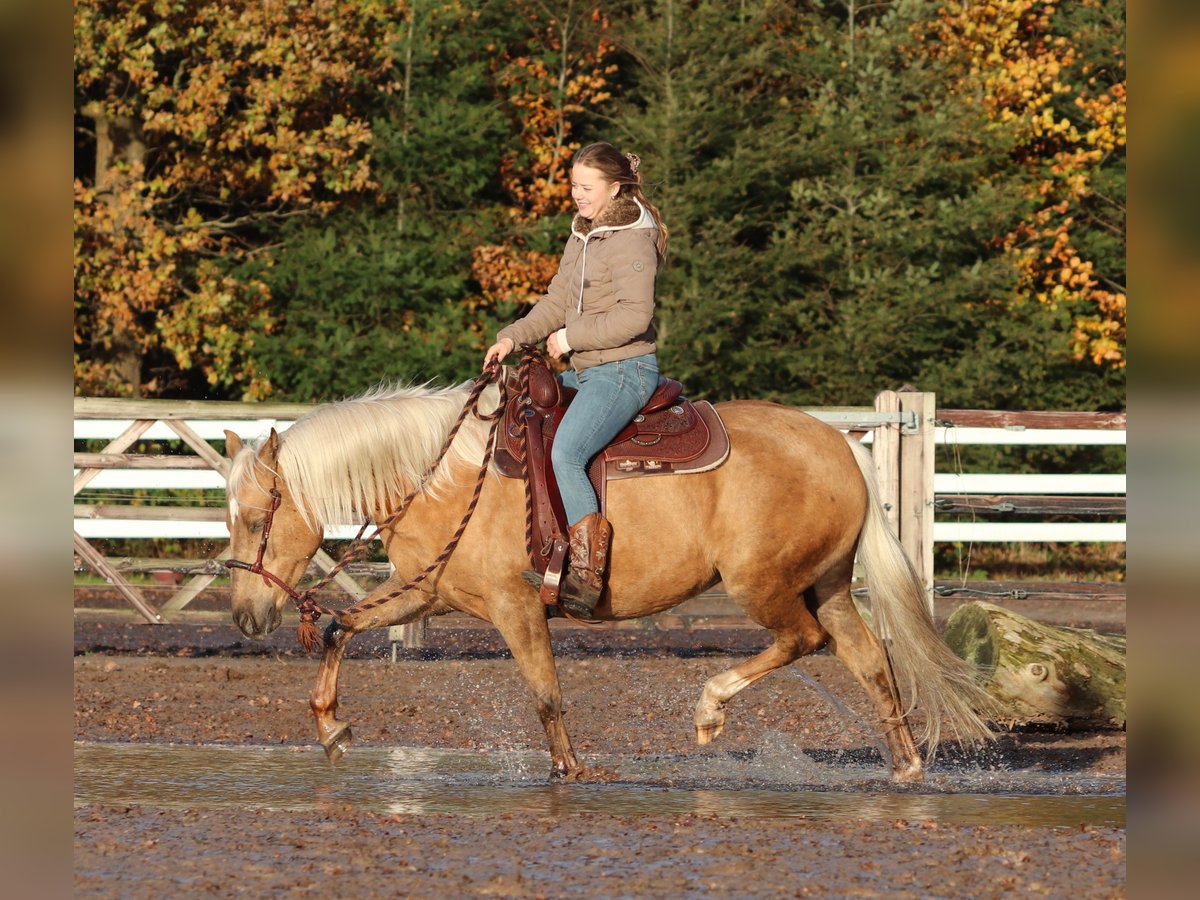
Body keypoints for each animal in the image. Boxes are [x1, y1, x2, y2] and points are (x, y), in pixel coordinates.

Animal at [225, 374, 993, 782]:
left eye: (257, 515)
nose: (244, 616)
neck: (444, 476)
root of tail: (839, 445)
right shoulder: (427, 594)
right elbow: (340, 627)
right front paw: (331, 727)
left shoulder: (514, 607)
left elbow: (546, 695)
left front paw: (570, 772)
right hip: (825, 584)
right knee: (868, 659)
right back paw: (905, 765)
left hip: (766, 587)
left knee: (802, 642)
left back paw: (710, 709)